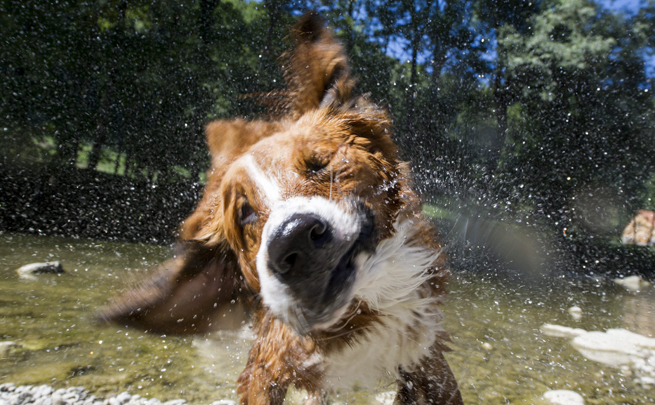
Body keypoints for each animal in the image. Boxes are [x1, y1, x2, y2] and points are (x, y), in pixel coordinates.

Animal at [100, 12, 464, 404]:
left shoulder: (426, 356)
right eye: (244, 213)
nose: (296, 237)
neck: (364, 307)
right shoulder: (265, 368)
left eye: (319, 164)